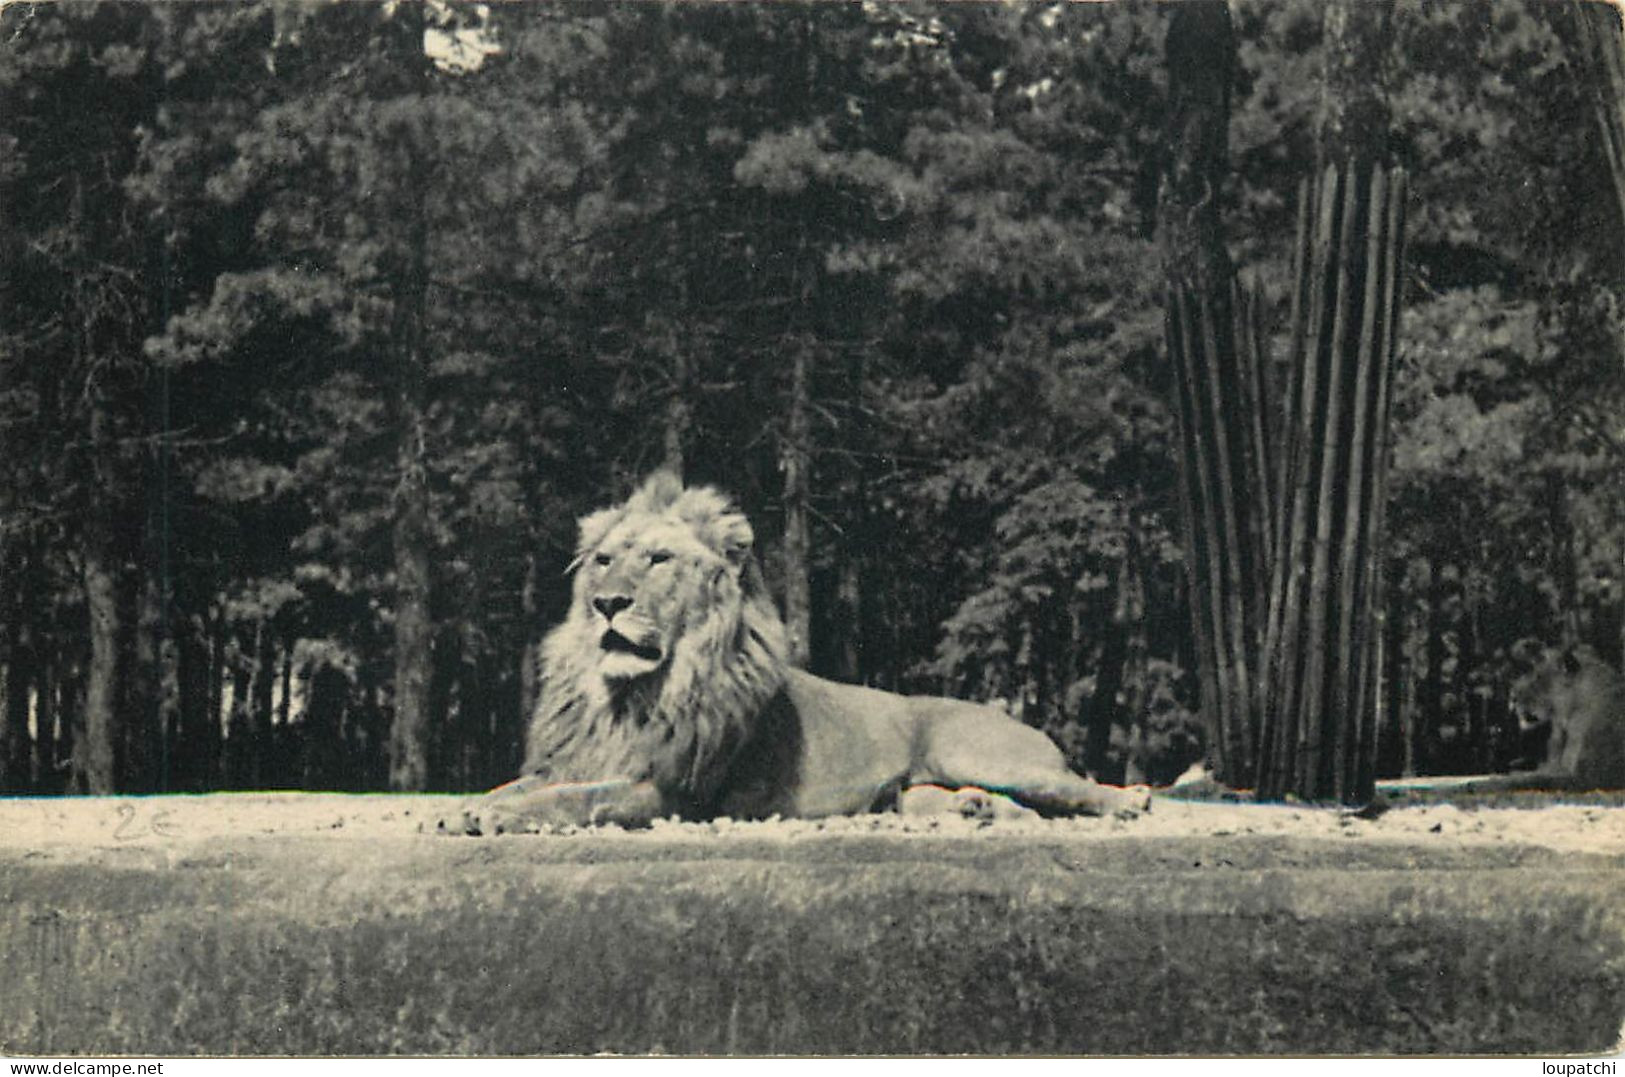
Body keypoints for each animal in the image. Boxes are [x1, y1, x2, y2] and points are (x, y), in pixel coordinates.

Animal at [445, 471, 1150, 831]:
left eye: (659, 559)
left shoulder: (677, 792)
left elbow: (578, 798)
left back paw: (1131, 800)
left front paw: (488, 817)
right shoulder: (576, 757)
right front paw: (470, 808)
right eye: (602, 561)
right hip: (919, 786)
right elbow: (523, 785)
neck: (631, 695)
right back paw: (977, 809)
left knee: (1076, 786)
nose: (607, 603)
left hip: (976, 750)